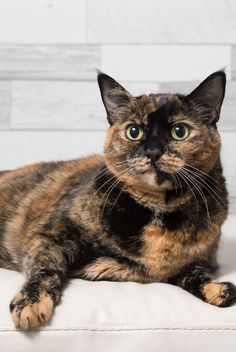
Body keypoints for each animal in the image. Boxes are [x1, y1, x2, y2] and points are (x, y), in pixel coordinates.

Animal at [0, 69, 236, 330]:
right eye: (134, 131)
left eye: (179, 131)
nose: (153, 151)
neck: (158, 208)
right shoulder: (51, 233)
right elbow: (45, 266)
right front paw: (30, 303)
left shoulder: (193, 262)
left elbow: (195, 274)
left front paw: (217, 290)